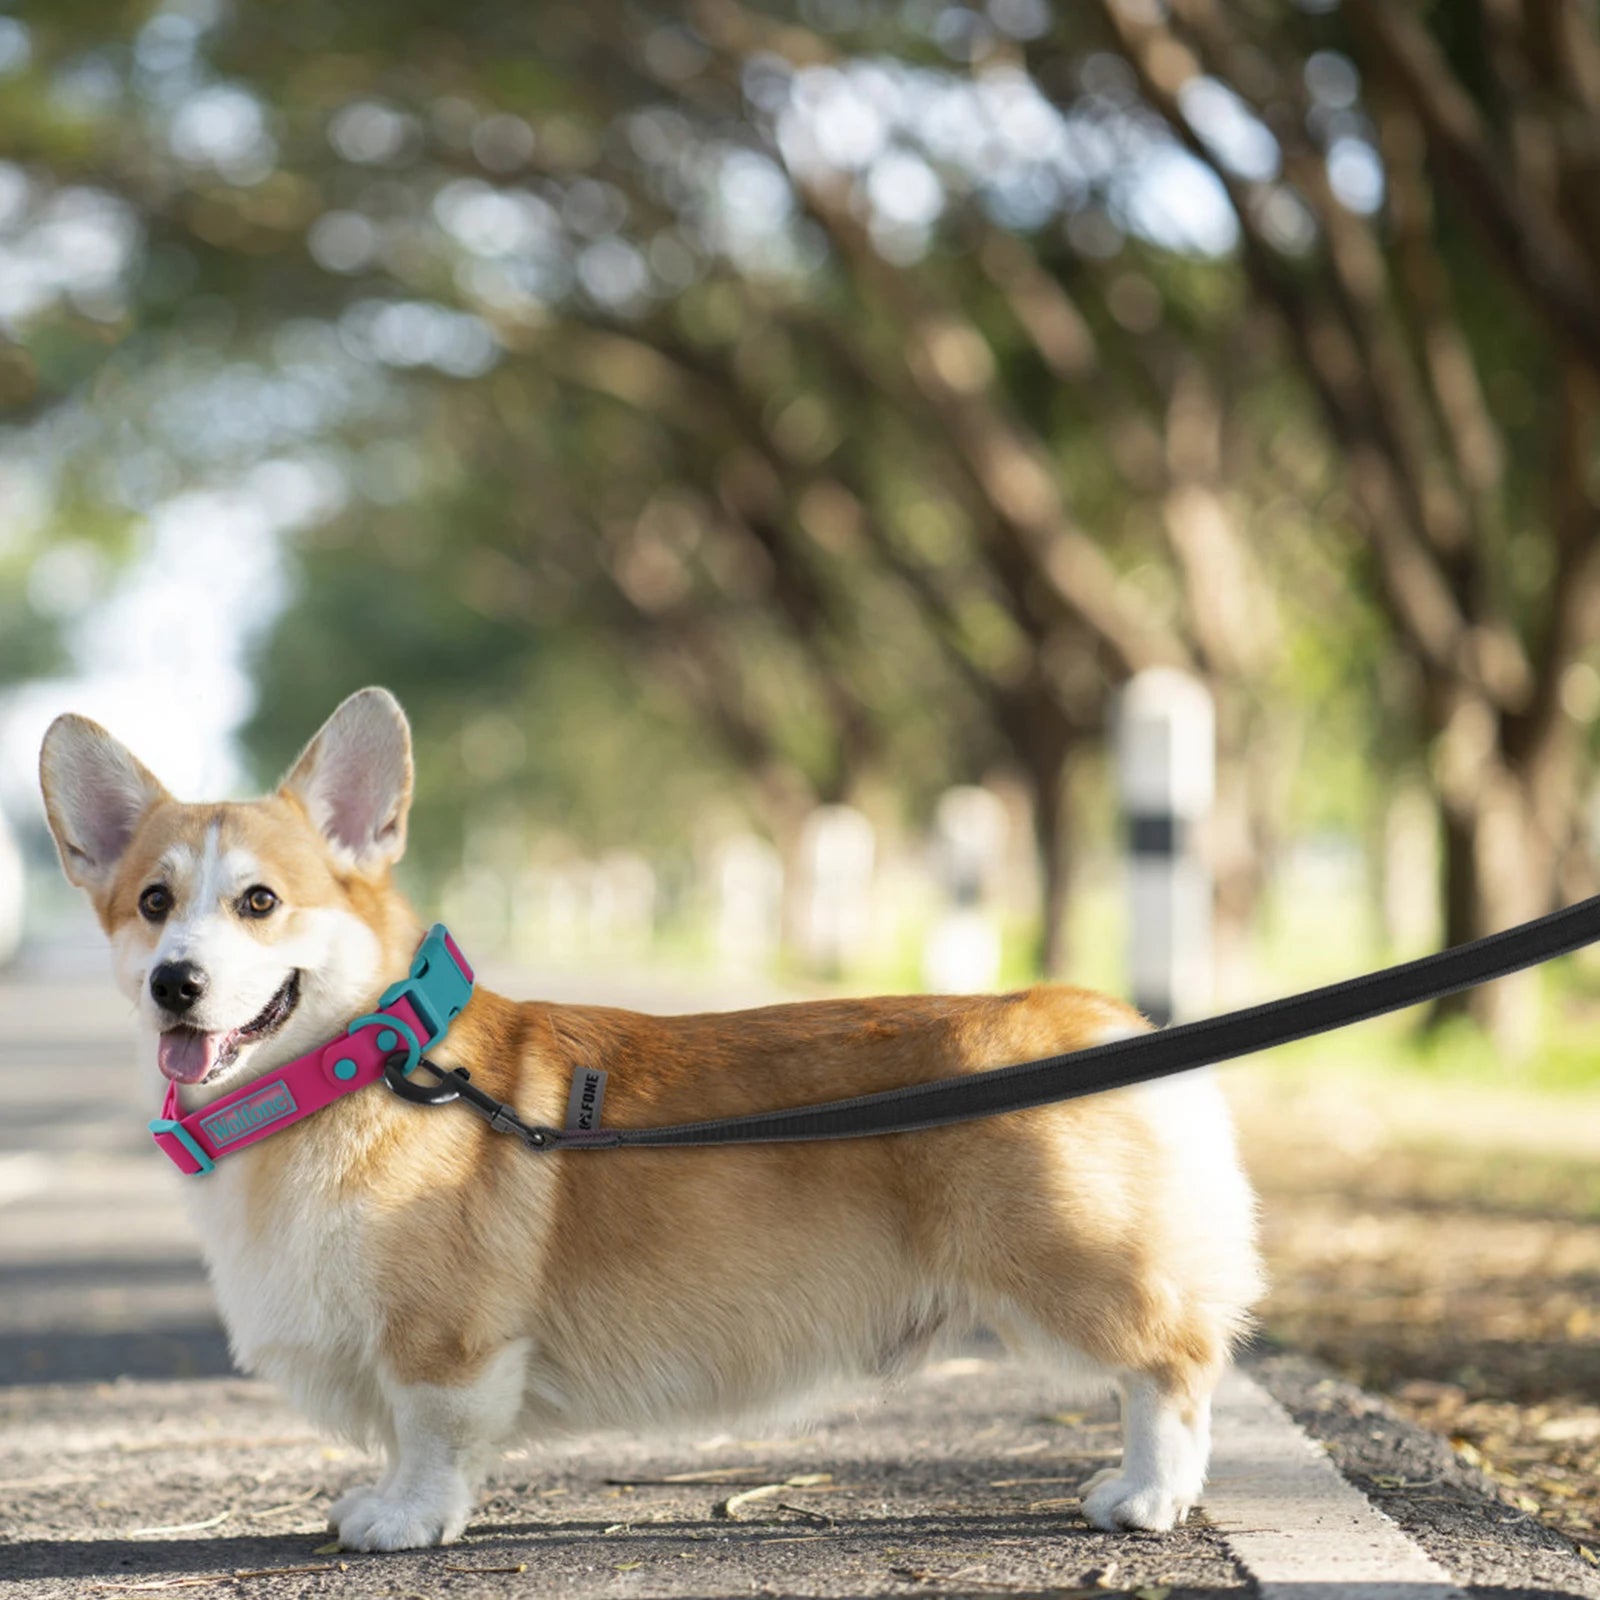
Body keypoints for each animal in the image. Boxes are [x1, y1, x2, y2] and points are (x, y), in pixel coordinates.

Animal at [40, 688, 1260, 1548]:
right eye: (153, 903)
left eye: (259, 902)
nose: (178, 984)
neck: (357, 1069)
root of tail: (1103, 1015)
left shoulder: (442, 1341)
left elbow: (432, 1435)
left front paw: (406, 1523)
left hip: (1074, 1271)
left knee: (1174, 1364)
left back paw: (1146, 1496)